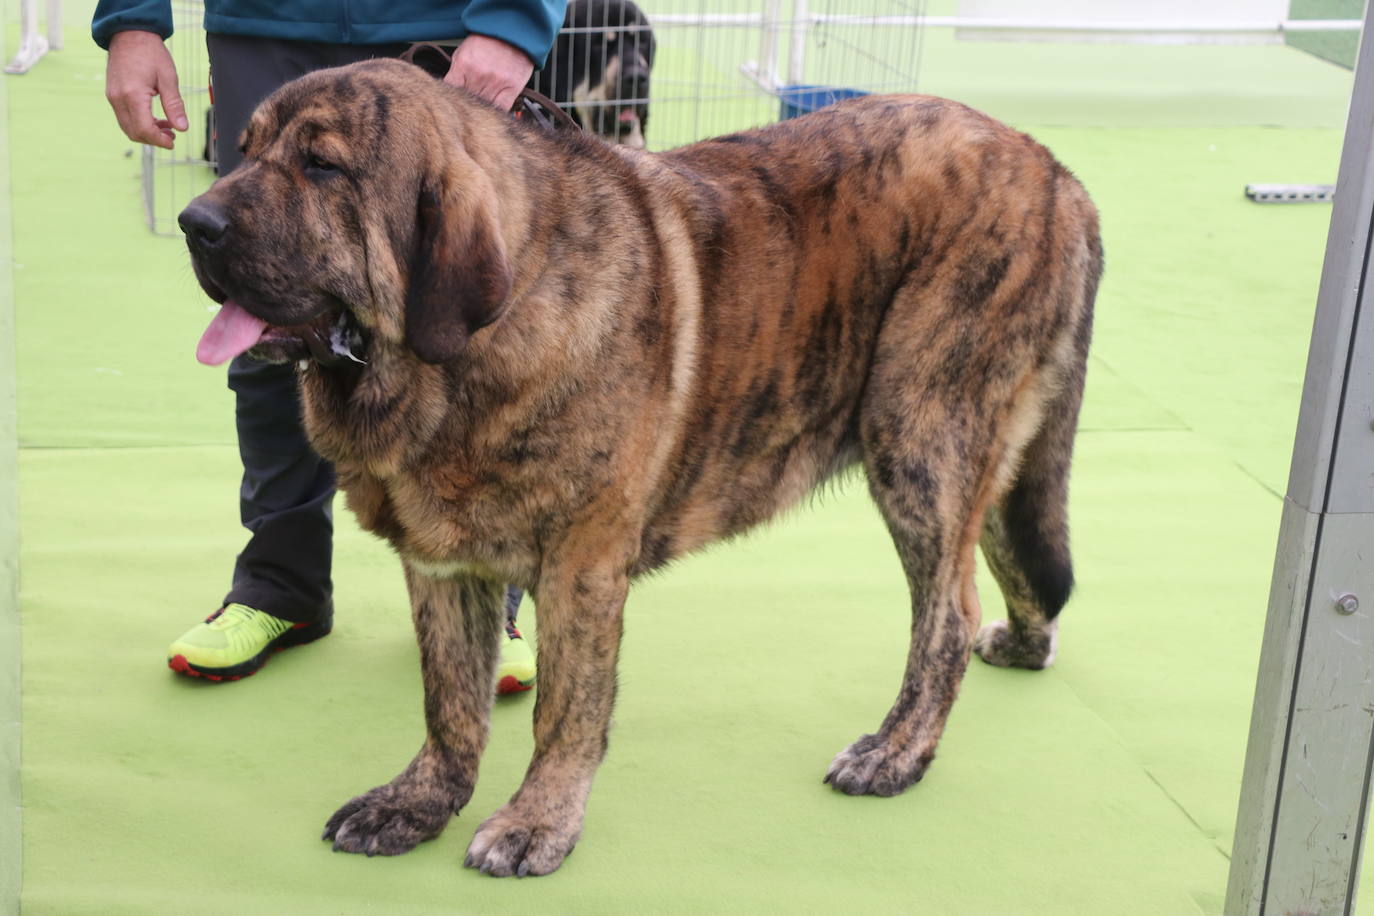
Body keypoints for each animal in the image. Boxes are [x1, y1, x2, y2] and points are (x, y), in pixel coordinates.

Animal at [182, 59, 1104, 878]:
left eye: (322, 165)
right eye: (244, 149)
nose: (196, 223)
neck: (463, 357)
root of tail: (1055, 170)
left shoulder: (581, 567)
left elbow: (565, 710)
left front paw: (537, 824)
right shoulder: (442, 564)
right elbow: (450, 703)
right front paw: (417, 804)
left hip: (919, 436)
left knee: (945, 614)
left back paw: (897, 753)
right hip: (982, 451)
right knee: (1015, 557)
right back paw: (1025, 647)